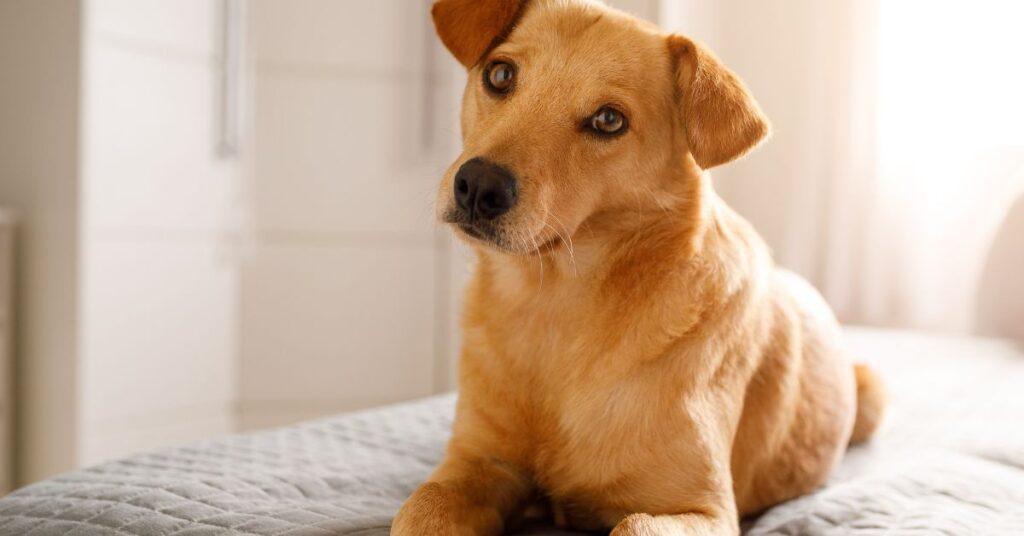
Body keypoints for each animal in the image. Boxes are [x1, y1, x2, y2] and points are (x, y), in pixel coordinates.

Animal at [387, 2, 884, 532]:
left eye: (609, 120)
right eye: (500, 75)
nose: (479, 186)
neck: (554, 306)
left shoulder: (706, 509)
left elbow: (632, 522)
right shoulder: (477, 462)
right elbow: (424, 505)